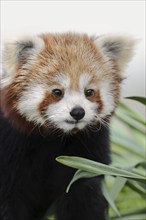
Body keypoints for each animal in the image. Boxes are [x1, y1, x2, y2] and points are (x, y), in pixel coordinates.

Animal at [0, 33, 135, 220]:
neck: (54, 138)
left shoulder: (87, 153)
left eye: (89, 92)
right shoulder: (11, 149)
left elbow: (82, 195)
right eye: (57, 92)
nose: (77, 112)